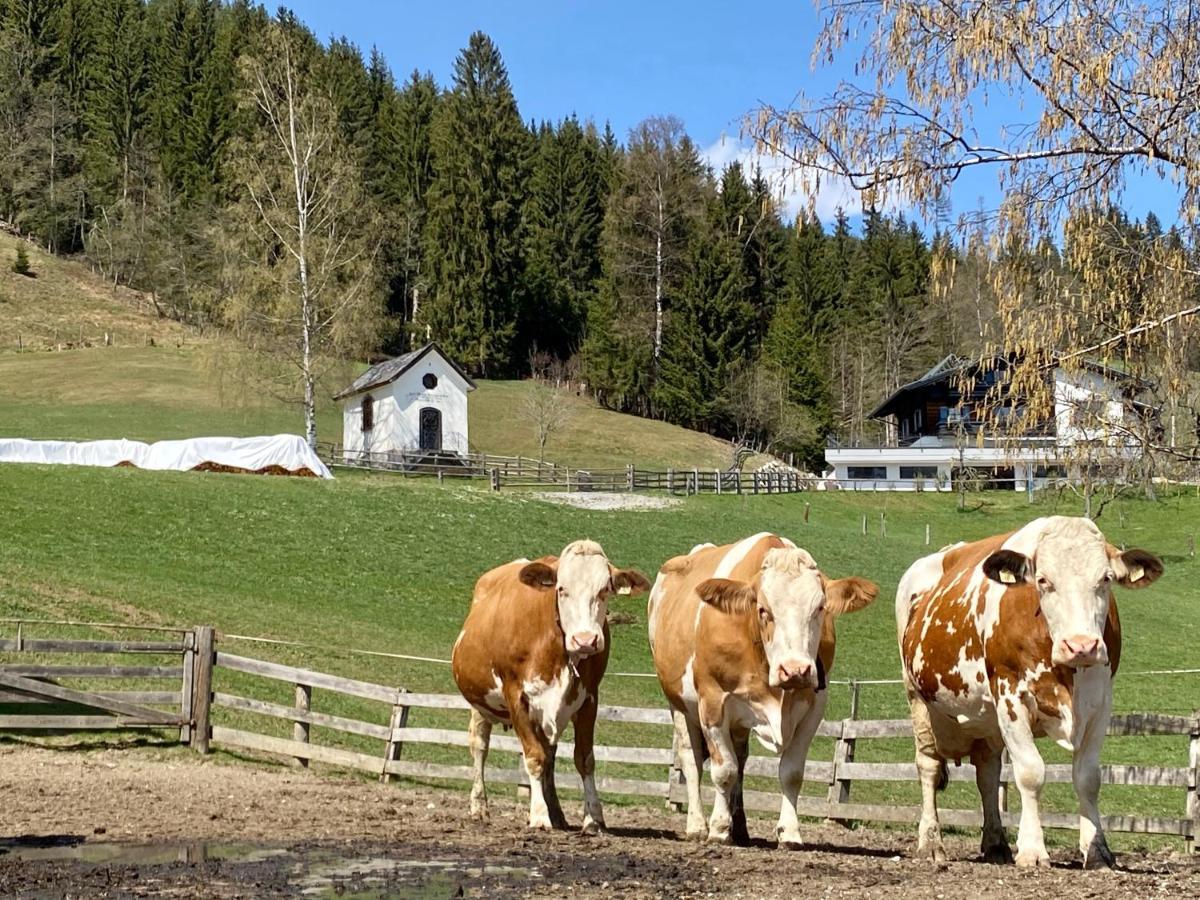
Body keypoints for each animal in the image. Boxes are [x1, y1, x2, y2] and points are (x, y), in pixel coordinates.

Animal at [453, 540, 652, 835]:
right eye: (561, 589)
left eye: (604, 590)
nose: (585, 640)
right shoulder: (516, 696)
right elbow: (534, 757)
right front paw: (538, 815)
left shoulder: (589, 699)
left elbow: (584, 759)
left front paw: (593, 817)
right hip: (481, 704)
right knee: (480, 746)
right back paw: (480, 807)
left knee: (551, 754)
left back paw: (557, 812)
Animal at [648, 532, 883, 849]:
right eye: (763, 610)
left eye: (819, 608)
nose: (795, 670)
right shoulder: (713, 701)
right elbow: (724, 771)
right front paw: (718, 828)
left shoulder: (814, 706)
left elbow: (791, 773)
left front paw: (790, 832)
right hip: (678, 704)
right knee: (691, 760)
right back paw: (697, 825)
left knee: (741, 760)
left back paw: (740, 828)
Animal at [902, 518, 1161, 868]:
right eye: (1043, 580)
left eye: (1105, 579)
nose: (1081, 646)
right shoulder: (1010, 695)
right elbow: (1030, 773)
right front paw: (1033, 850)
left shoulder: (1100, 701)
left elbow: (1088, 778)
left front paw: (1097, 850)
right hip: (918, 699)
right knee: (928, 766)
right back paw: (931, 843)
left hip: (986, 721)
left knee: (987, 773)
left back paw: (996, 844)